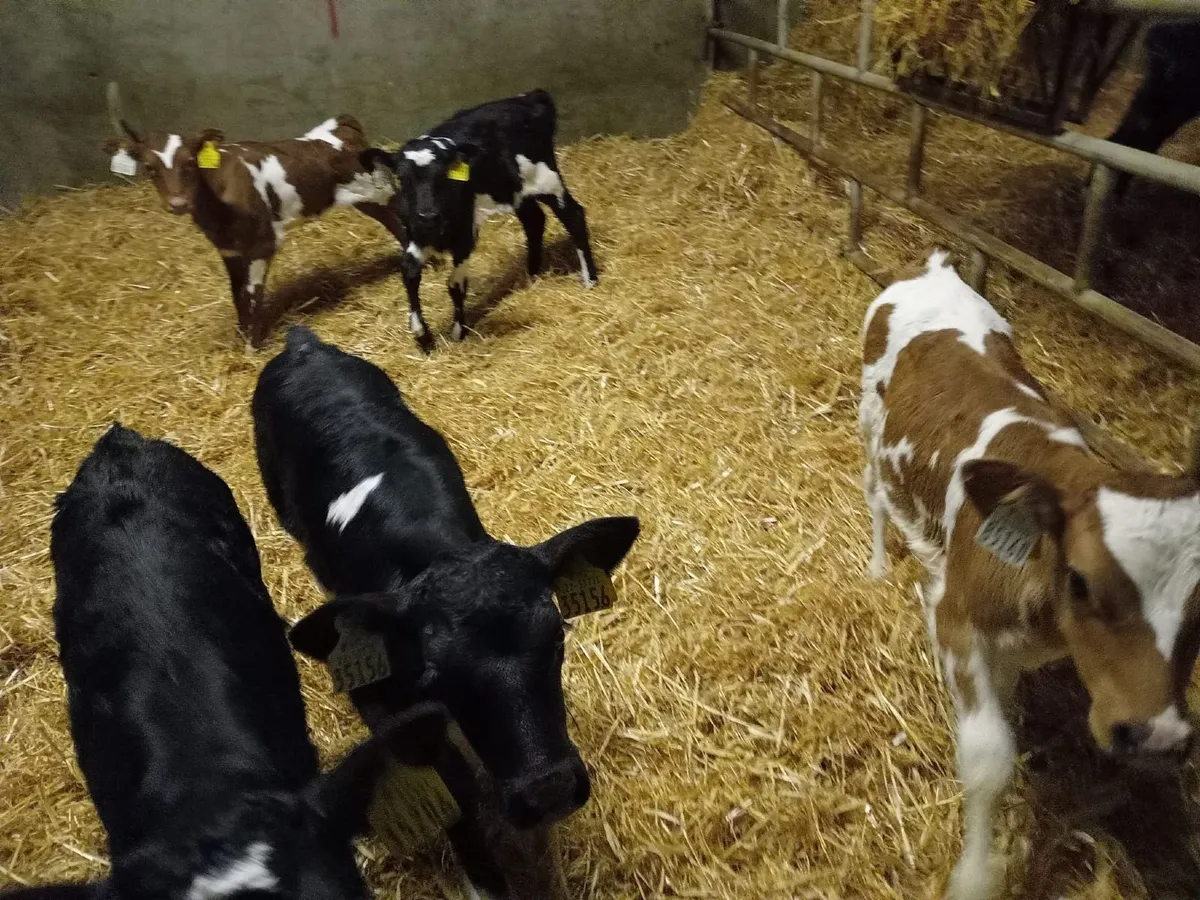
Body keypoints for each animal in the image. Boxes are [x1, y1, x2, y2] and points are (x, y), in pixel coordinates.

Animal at [102, 83, 406, 347]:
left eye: (190, 162)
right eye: (149, 168)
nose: (178, 203)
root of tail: (339, 127)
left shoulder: (263, 243)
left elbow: (253, 293)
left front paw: (253, 346)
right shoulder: (229, 249)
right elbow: (237, 294)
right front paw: (241, 338)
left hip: (379, 189)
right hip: (365, 199)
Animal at [359, 90, 598, 345]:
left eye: (445, 176)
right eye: (402, 177)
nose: (427, 214)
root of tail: (529, 98)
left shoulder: (464, 235)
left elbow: (456, 285)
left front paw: (458, 331)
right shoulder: (416, 232)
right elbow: (409, 271)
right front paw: (421, 333)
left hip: (547, 180)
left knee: (573, 216)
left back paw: (589, 279)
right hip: (514, 191)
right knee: (534, 220)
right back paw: (532, 272)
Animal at [859, 251, 1200, 900]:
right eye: (1081, 581)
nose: (1158, 735)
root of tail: (935, 270)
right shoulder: (953, 615)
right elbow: (988, 756)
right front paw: (974, 877)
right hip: (868, 419)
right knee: (873, 493)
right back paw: (877, 564)